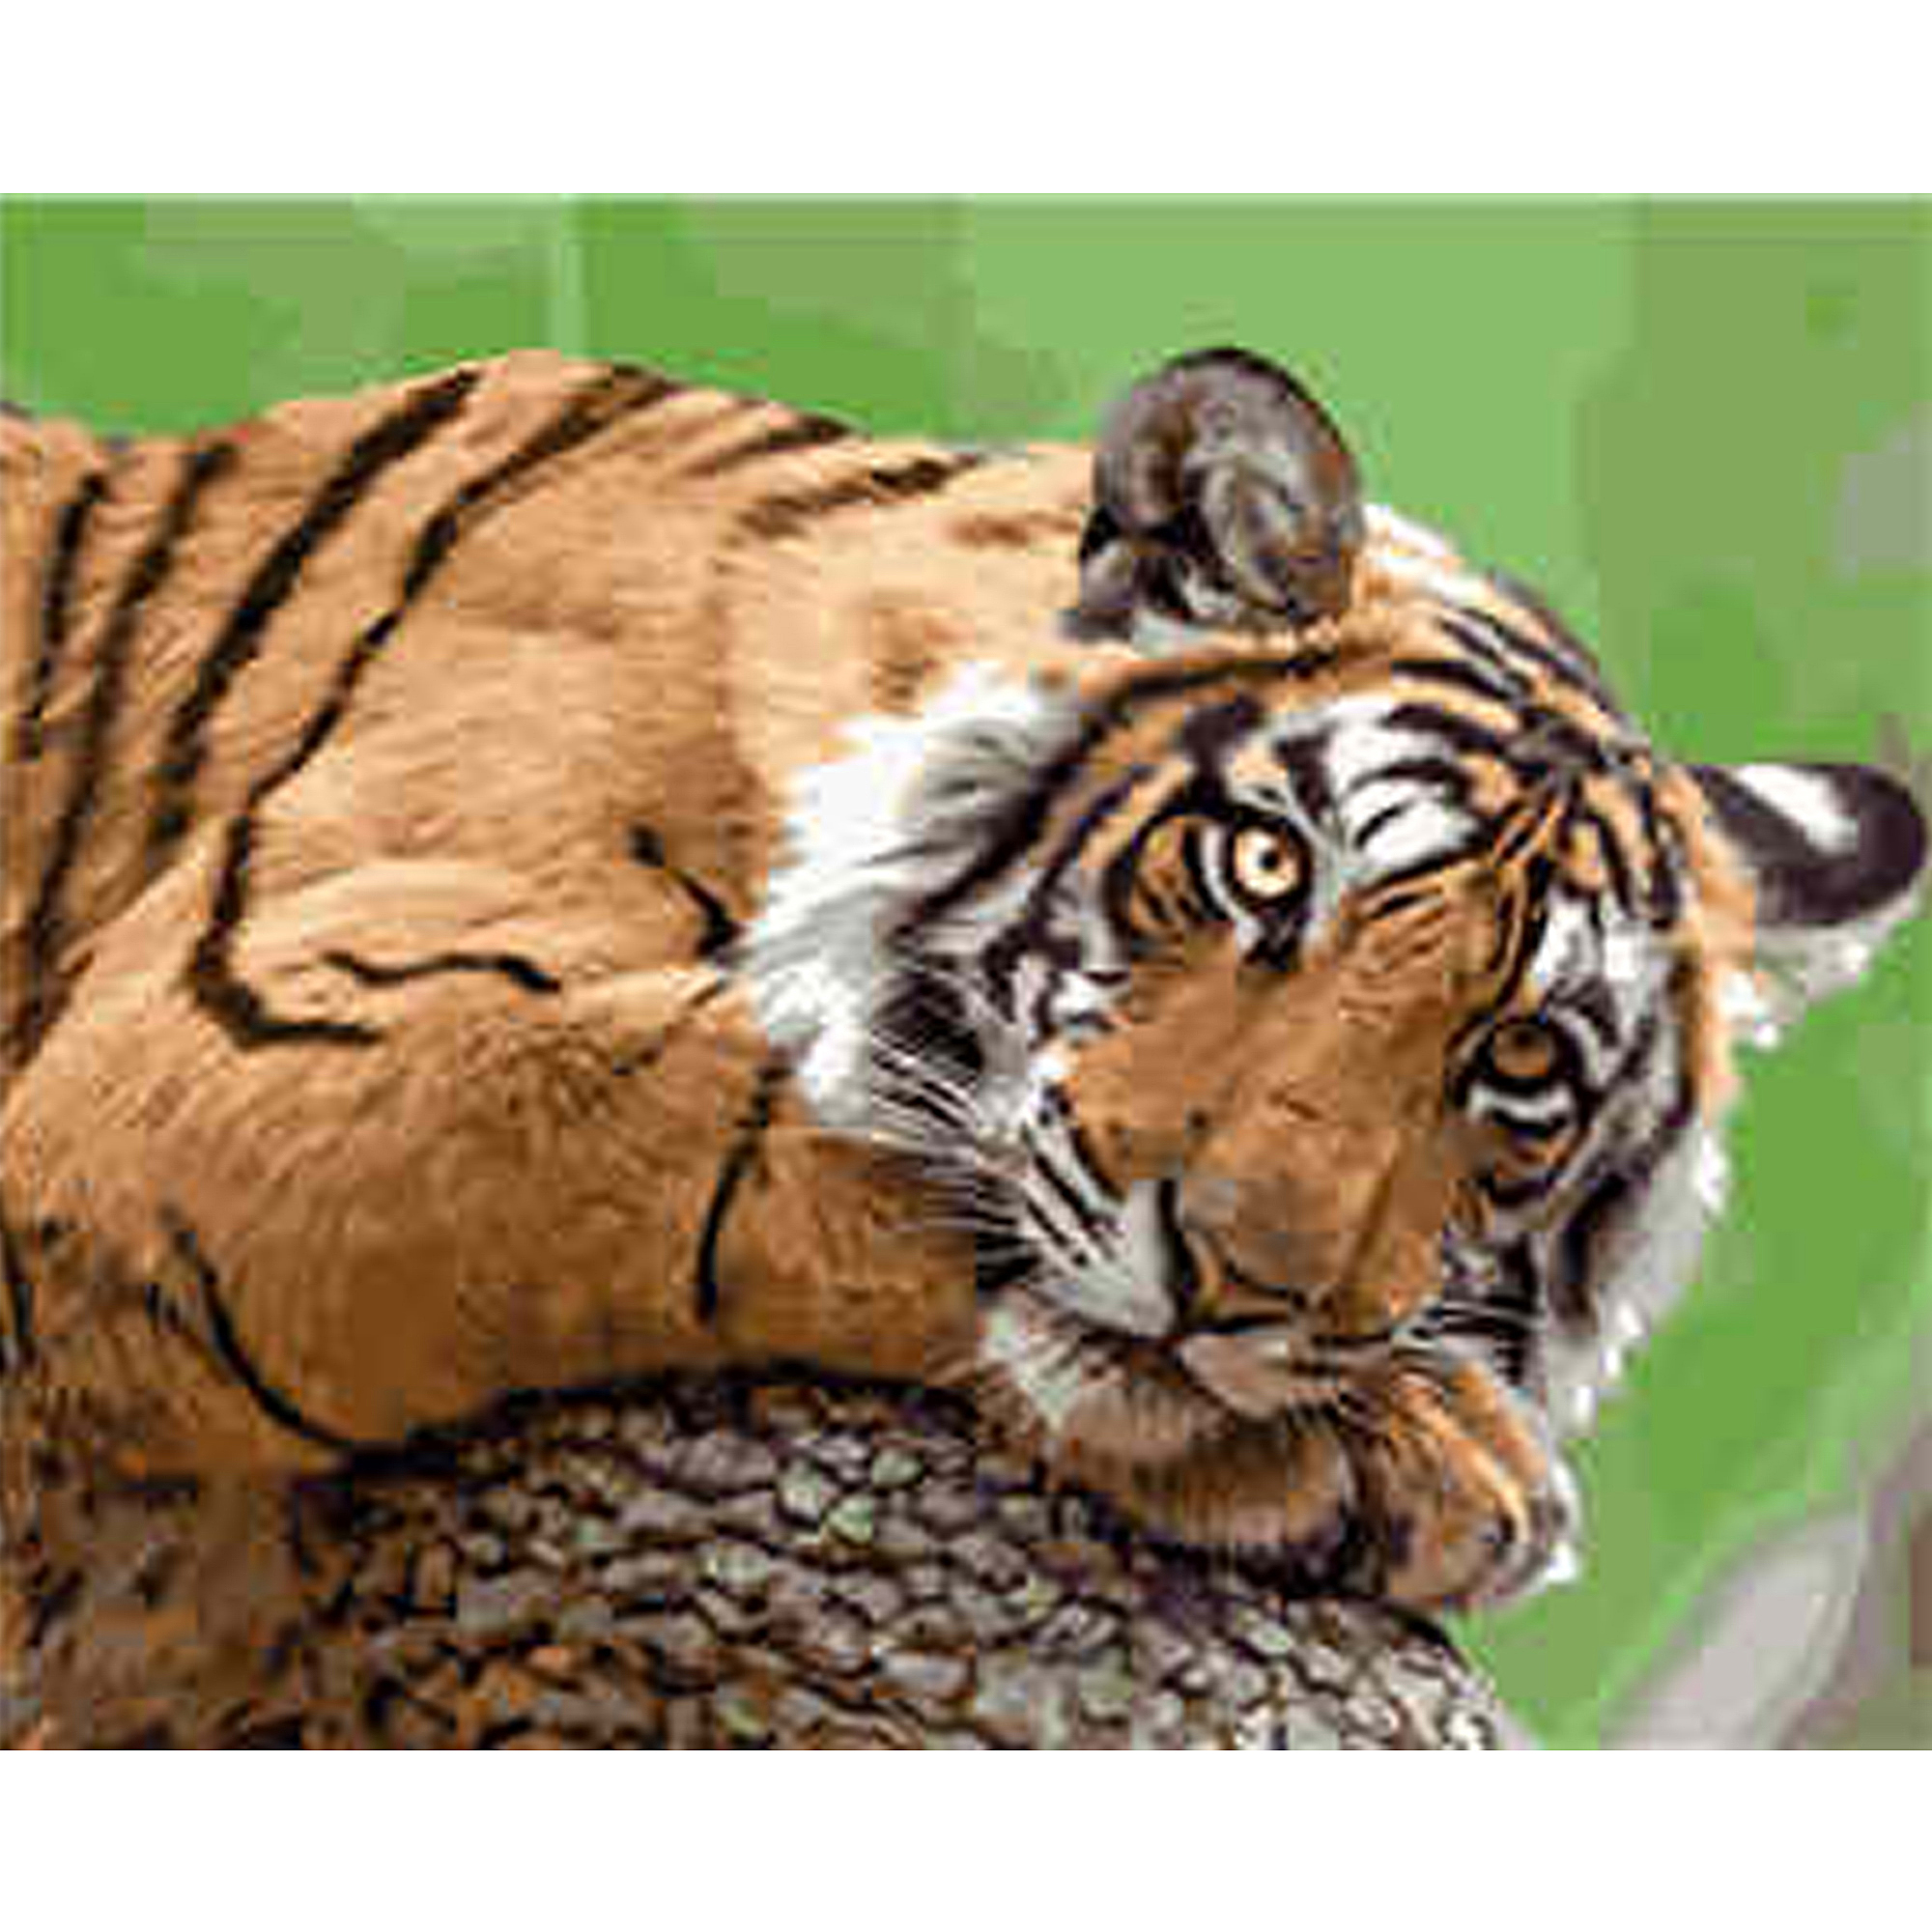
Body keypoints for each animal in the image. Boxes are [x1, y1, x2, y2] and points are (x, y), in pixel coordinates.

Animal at [0, 345, 1922, 1615]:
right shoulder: (231, 1042)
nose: (1244, 1288)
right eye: (1266, 867)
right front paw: (1437, 1446)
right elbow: (764, 1107)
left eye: (1520, 1063)